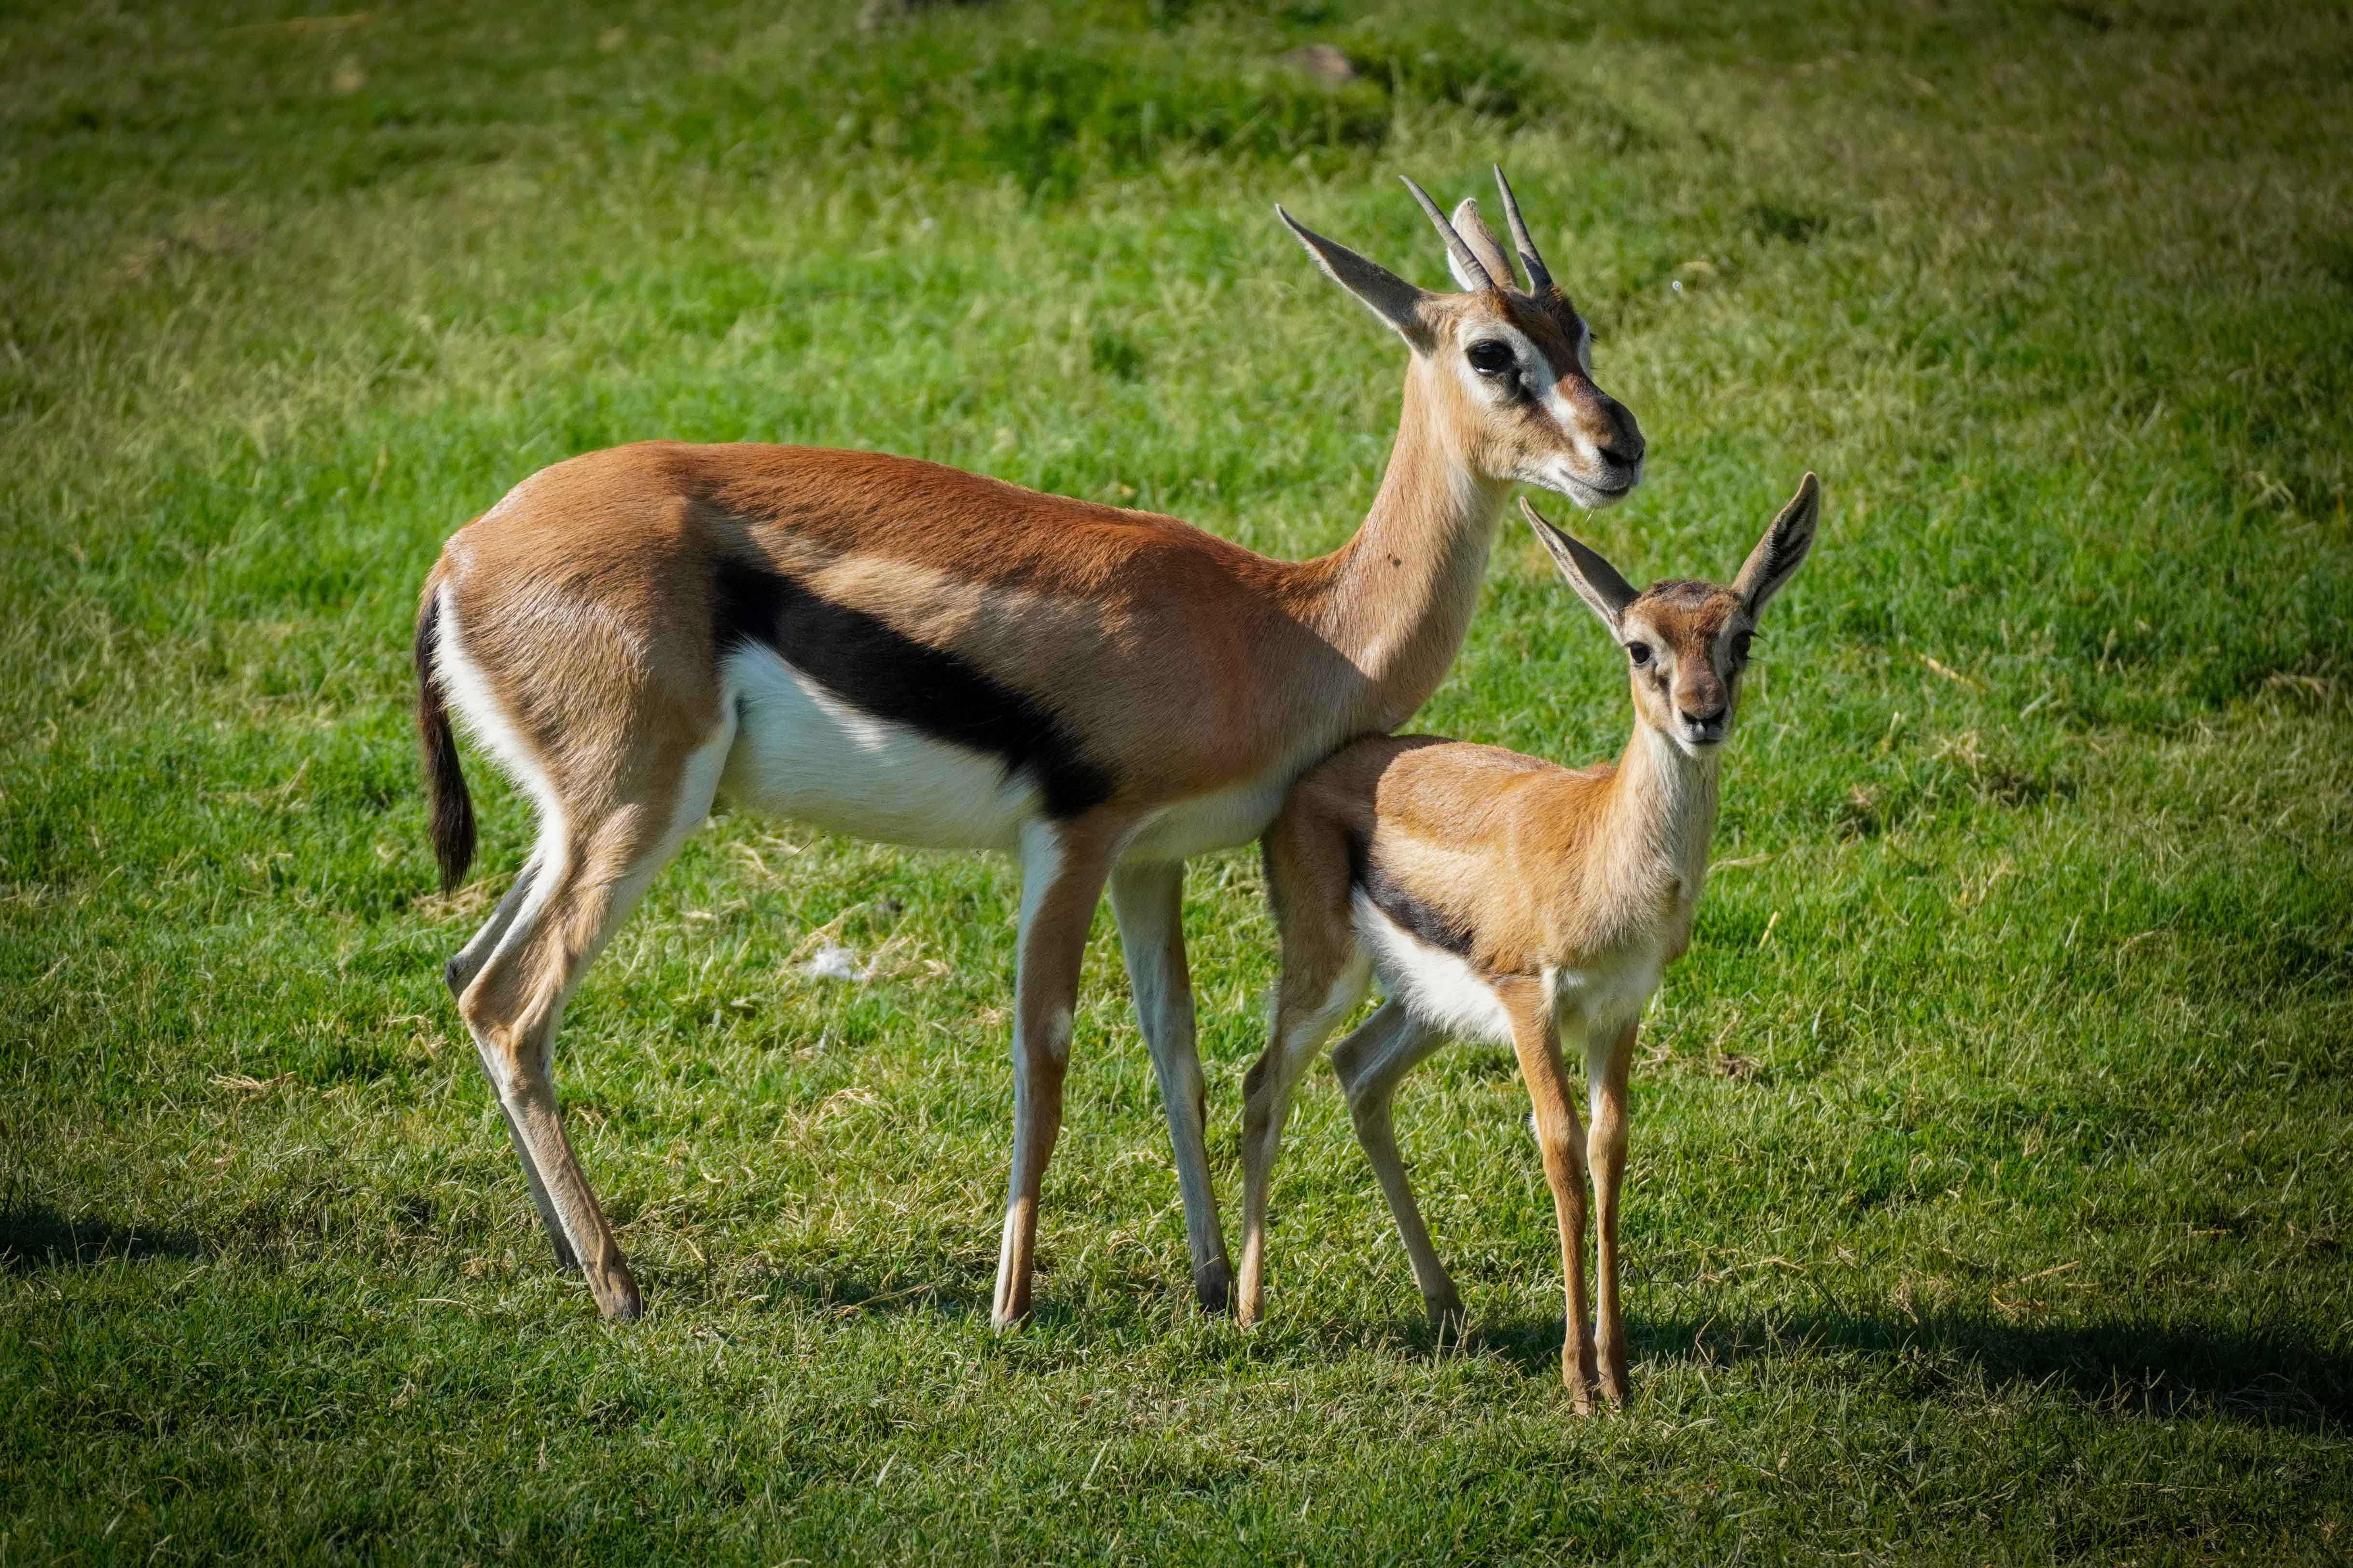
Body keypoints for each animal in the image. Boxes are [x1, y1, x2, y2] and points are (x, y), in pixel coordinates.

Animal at [1233, 472, 1816, 1401]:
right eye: (1640, 647)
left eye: (1741, 637)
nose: (1703, 715)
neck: (1601, 846)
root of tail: (1313, 774)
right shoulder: (1530, 1003)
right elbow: (1560, 1152)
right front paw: (1580, 1379)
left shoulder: (1618, 1012)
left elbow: (1610, 1153)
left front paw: (1619, 1371)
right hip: (1328, 971)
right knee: (1266, 1083)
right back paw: (1250, 1308)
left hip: (1426, 1006)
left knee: (1358, 1072)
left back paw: (1446, 1304)